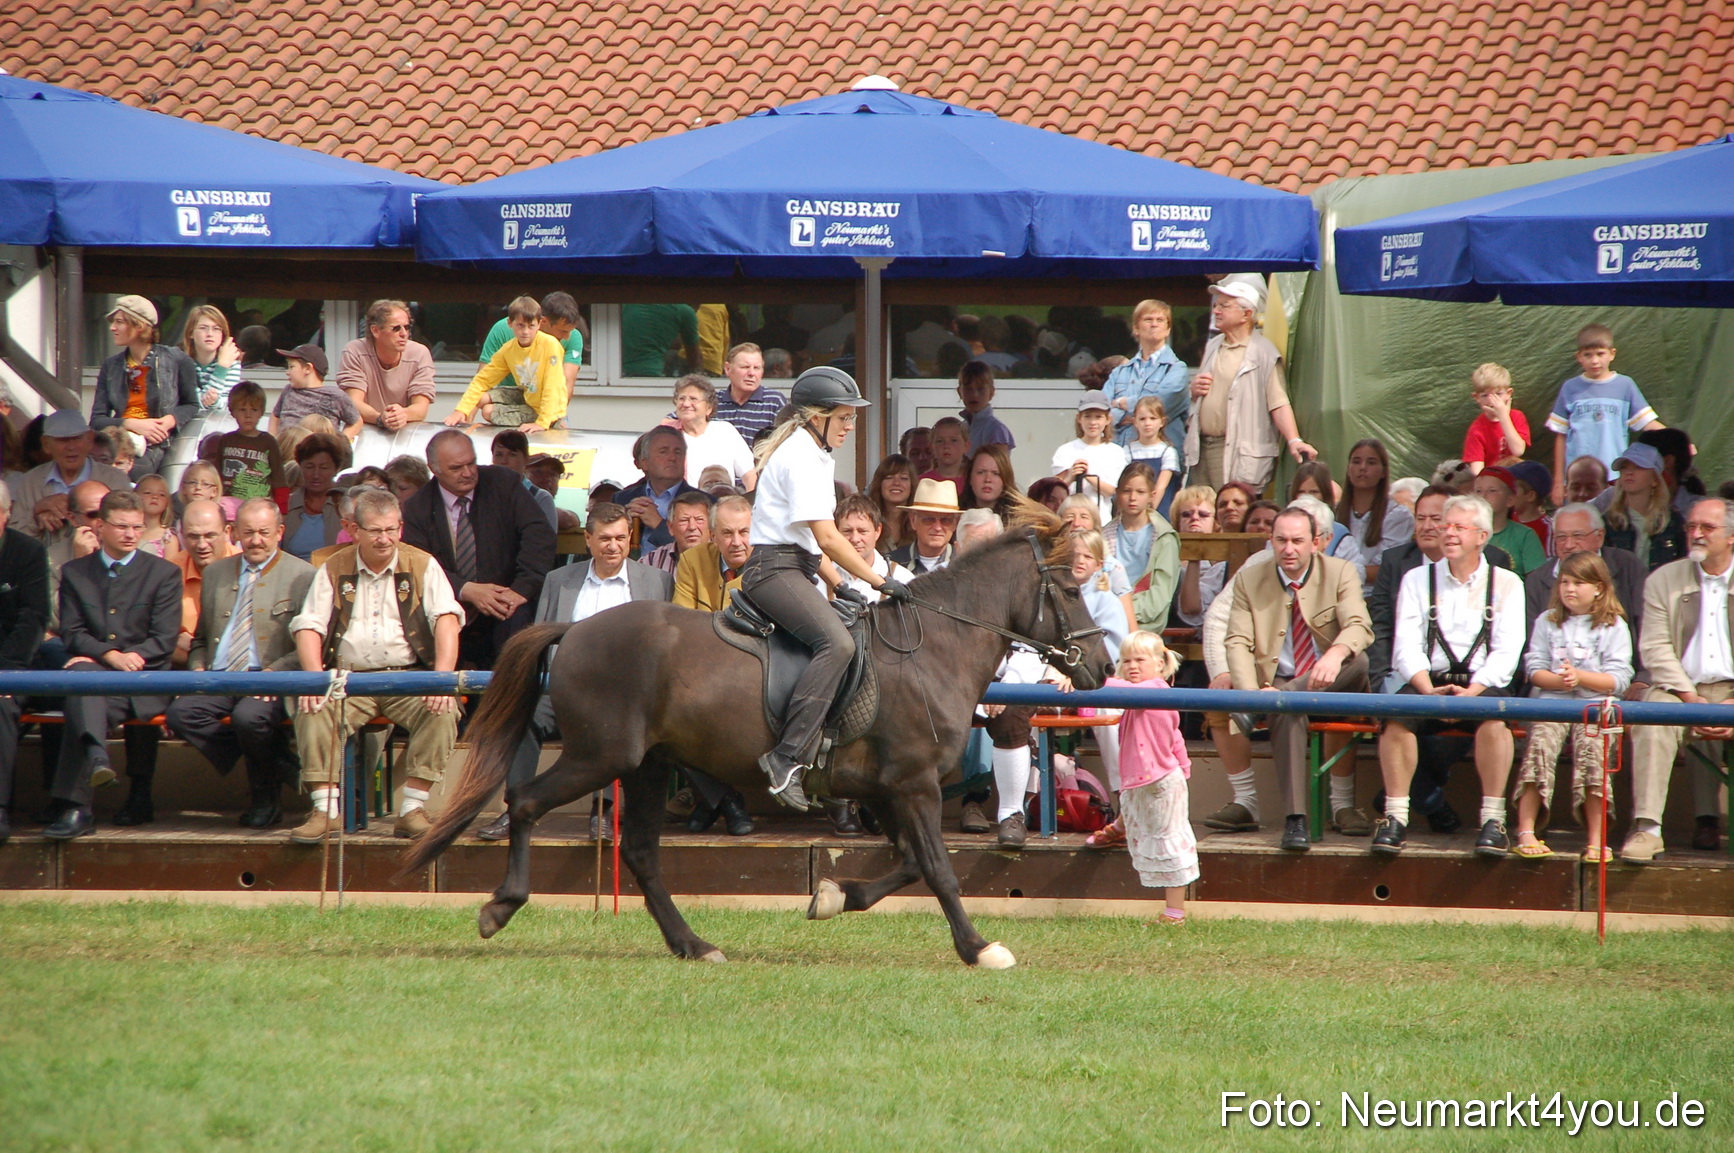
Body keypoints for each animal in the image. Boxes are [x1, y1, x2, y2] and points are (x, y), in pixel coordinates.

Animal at [399, 501, 1113, 968]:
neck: (932, 647)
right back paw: (500, 907)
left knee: (642, 854)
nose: (1104, 667)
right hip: (601, 755)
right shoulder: (912, 786)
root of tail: (575, 629)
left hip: (647, 765)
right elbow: (938, 868)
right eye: (1070, 586)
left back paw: (692, 945)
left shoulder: (887, 791)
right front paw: (978, 947)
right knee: (524, 803)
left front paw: (833, 896)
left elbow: (910, 863)